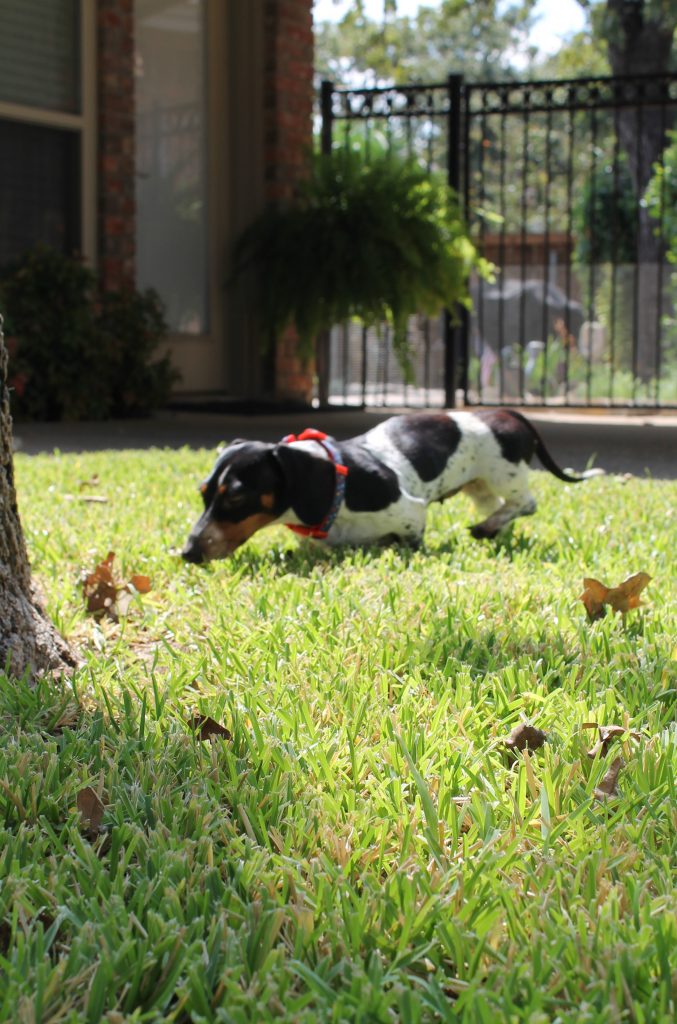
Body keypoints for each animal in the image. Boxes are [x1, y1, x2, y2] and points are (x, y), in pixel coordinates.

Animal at [181, 407, 598, 565]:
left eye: (236, 494)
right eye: (203, 493)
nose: (187, 553)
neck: (339, 486)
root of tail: (507, 412)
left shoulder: (411, 513)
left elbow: (405, 539)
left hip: (504, 473)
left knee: (527, 503)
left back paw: (488, 527)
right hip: (479, 487)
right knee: (500, 507)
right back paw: (493, 528)